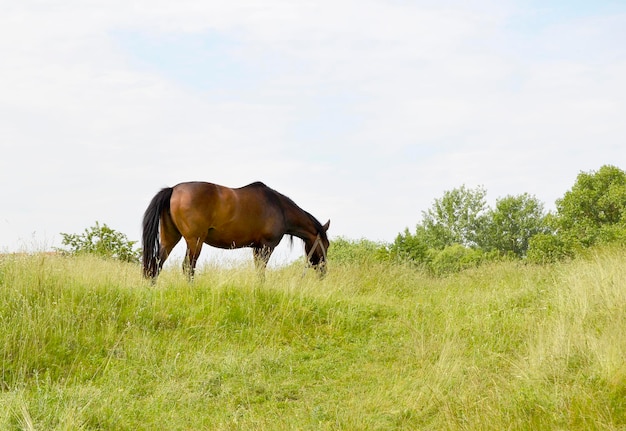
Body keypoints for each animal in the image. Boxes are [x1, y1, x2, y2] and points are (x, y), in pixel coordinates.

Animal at [140, 181, 330, 280]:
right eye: (326, 245)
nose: (323, 271)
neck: (280, 208)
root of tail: (173, 189)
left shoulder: (257, 248)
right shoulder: (266, 247)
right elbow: (261, 272)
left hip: (170, 238)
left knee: (156, 264)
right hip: (195, 241)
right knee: (188, 267)